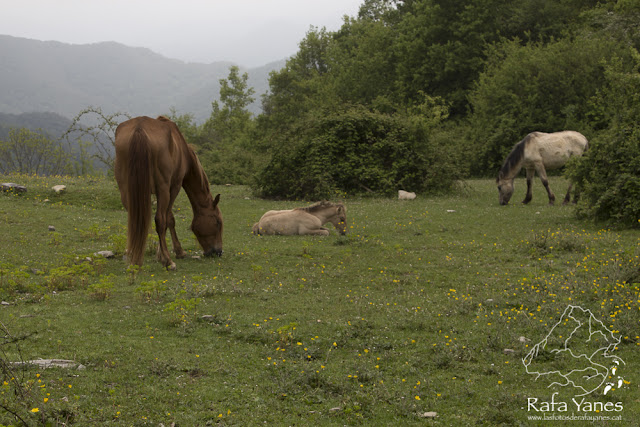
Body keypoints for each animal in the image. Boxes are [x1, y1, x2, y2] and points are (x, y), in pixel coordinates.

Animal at [114, 116, 222, 270]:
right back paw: (168, 261)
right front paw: (175, 252)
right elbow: (169, 219)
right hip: (163, 189)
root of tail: (139, 129)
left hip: (125, 189)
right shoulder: (174, 187)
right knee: (160, 220)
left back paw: (134, 258)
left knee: (134, 221)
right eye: (218, 222)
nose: (218, 252)